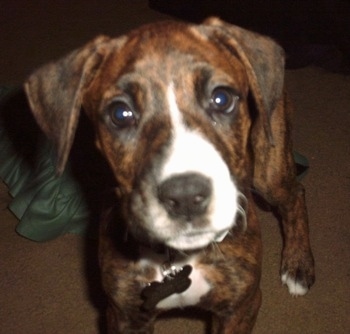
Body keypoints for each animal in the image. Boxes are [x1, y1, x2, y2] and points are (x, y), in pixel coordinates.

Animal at [23, 17, 314, 332]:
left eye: (221, 98)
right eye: (120, 114)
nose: (186, 196)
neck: (178, 259)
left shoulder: (241, 307)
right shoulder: (125, 315)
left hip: (269, 166)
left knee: (295, 195)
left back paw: (298, 266)